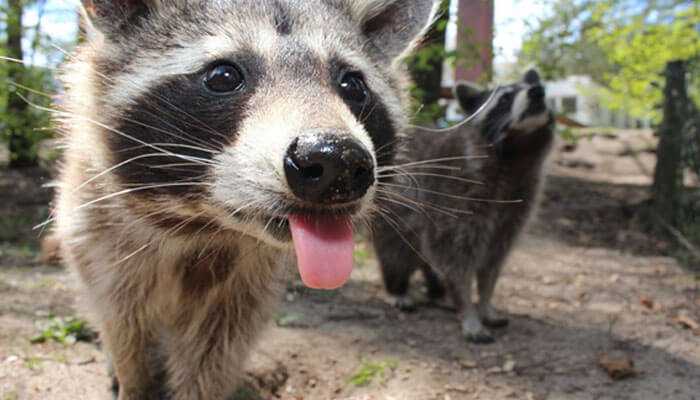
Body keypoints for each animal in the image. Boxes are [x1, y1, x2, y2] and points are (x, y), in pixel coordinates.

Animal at [54, 1, 438, 398]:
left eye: (352, 85)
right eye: (223, 76)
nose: (337, 161)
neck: (203, 224)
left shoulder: (247, 284)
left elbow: (216, 352)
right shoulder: (100, 240)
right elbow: (126, 331)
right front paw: (136, 382)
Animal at [374, 69, 556, 344]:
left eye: (537, 86)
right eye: (505, 98)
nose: (538, 92)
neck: (518, 150)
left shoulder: (517, 206)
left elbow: (493, 261)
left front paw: (485, 302)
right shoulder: (455, 196)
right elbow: (455, 258)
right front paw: (468, 308)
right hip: (394, 213)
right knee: (395, 251)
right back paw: (397, 288)